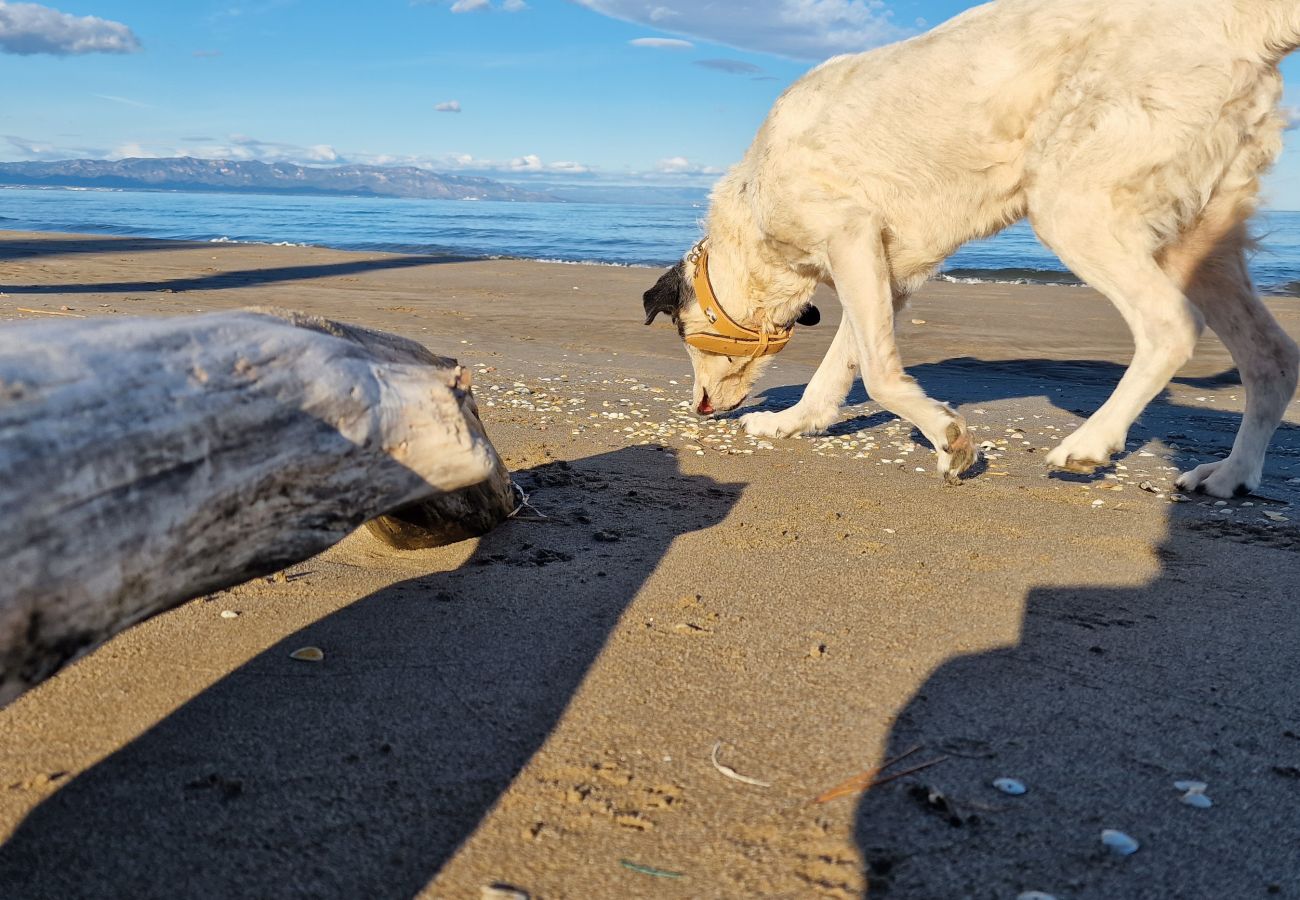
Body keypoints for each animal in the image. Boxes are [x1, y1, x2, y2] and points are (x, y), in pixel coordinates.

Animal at [647, 0, 1300, 496]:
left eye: (681, 333)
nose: (699, 409)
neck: (754, 205)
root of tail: (1238, 19)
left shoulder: (851, 238)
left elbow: (877, 375)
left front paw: (949, 440)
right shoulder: (882, 272)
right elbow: (837, 371)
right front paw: (791, 424)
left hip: (1070, 203)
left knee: (1171, 326)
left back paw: (1089, 443)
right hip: (1200, 241)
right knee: (1272, 359)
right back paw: (1232, 475)